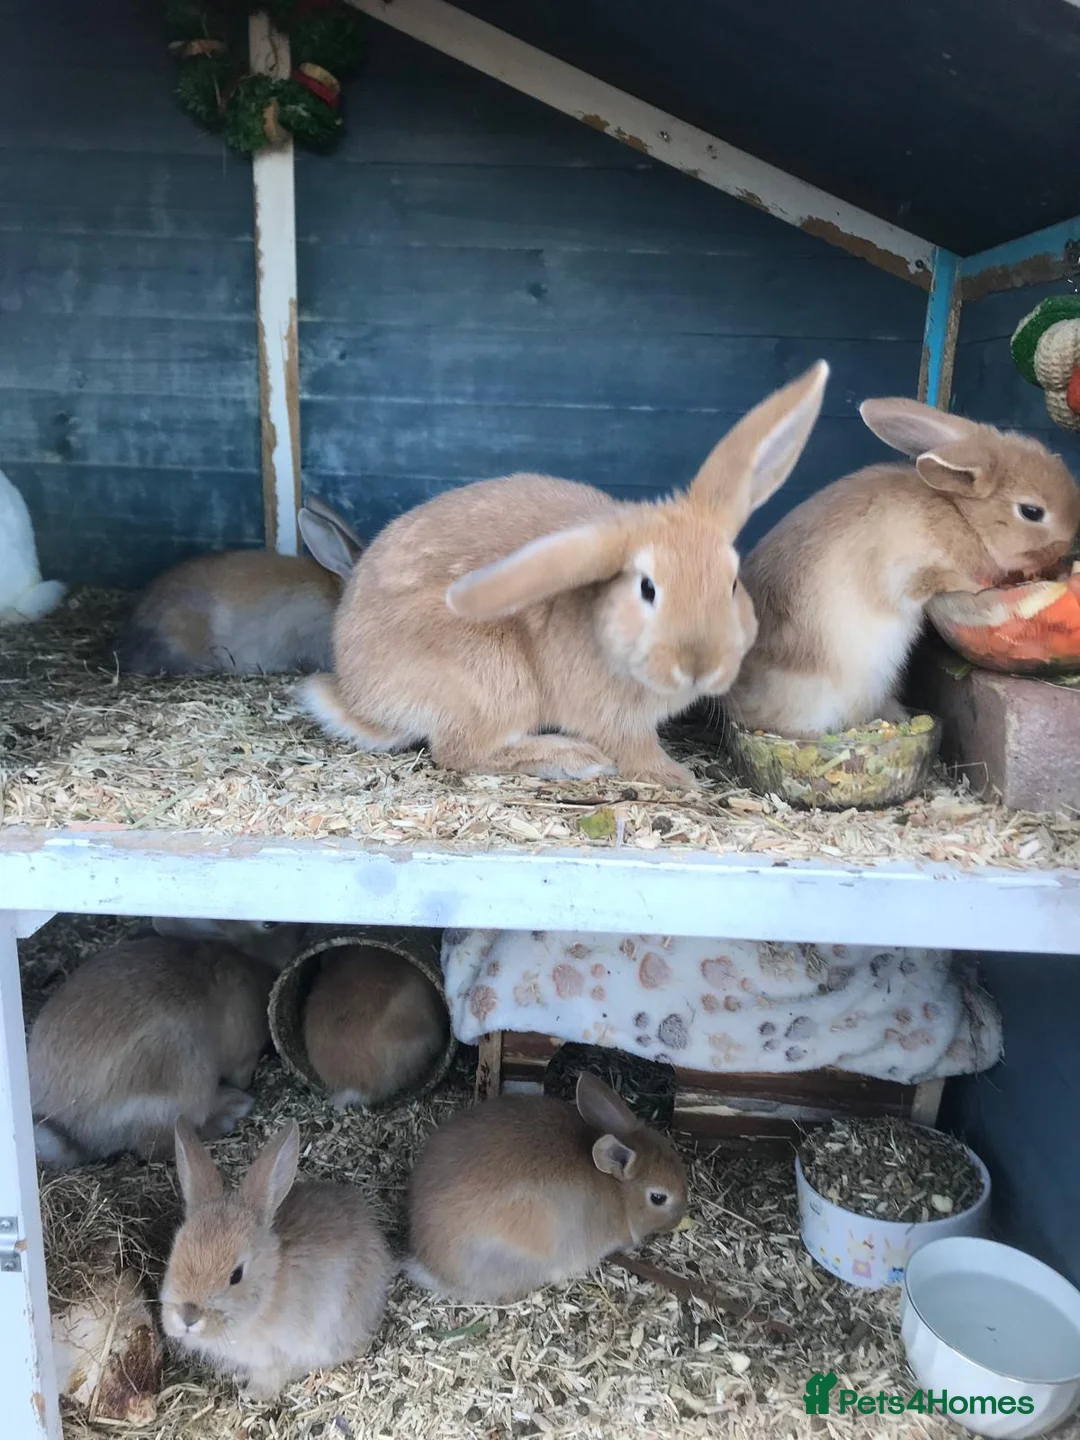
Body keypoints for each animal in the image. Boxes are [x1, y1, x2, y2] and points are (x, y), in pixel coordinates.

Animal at [29, 923, 307, 1169]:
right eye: (269, 926)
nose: (299, 935)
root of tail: (74, 1135)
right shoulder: (242, 1054)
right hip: (177, 1085)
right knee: (162, 1144)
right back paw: (231, 1110)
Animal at [160, 1118, 393, 1401]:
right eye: (174, 1253)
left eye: (236, 1275)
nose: (187, 1317)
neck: (268, 1294)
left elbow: (277, 1372)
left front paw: (253, 1393)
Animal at [300, 363, 829, 786]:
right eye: (648, 588)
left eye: (732, 583)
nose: (699, 665)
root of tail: (358, 695)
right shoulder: (614, 719)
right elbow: (636, 750)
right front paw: (678, 777)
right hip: (497, 680)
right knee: (459, 752)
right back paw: (573, 759)